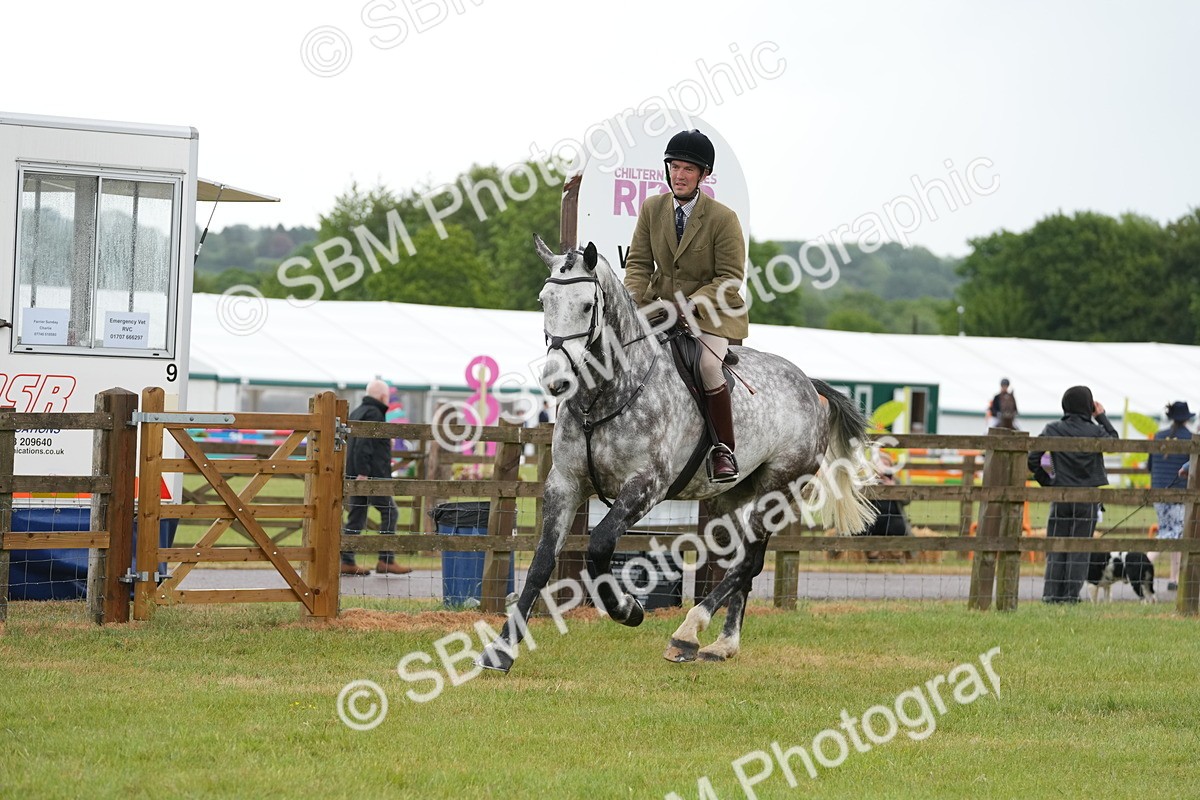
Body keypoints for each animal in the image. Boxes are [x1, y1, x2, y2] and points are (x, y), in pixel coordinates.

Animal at [477, 236, 877, 672]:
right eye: (543, 300)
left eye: (586, 305)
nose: (555, 381)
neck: (603, 396)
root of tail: (809, 384)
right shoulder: (564, 484)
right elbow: (541, 564)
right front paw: (501, 649)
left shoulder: (645, 487)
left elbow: (599, 546)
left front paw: (628, 610)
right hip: (730, 497)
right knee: (747, 560)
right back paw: (722, 644)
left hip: (778, 489)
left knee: (746, 562)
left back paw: (687, 633)